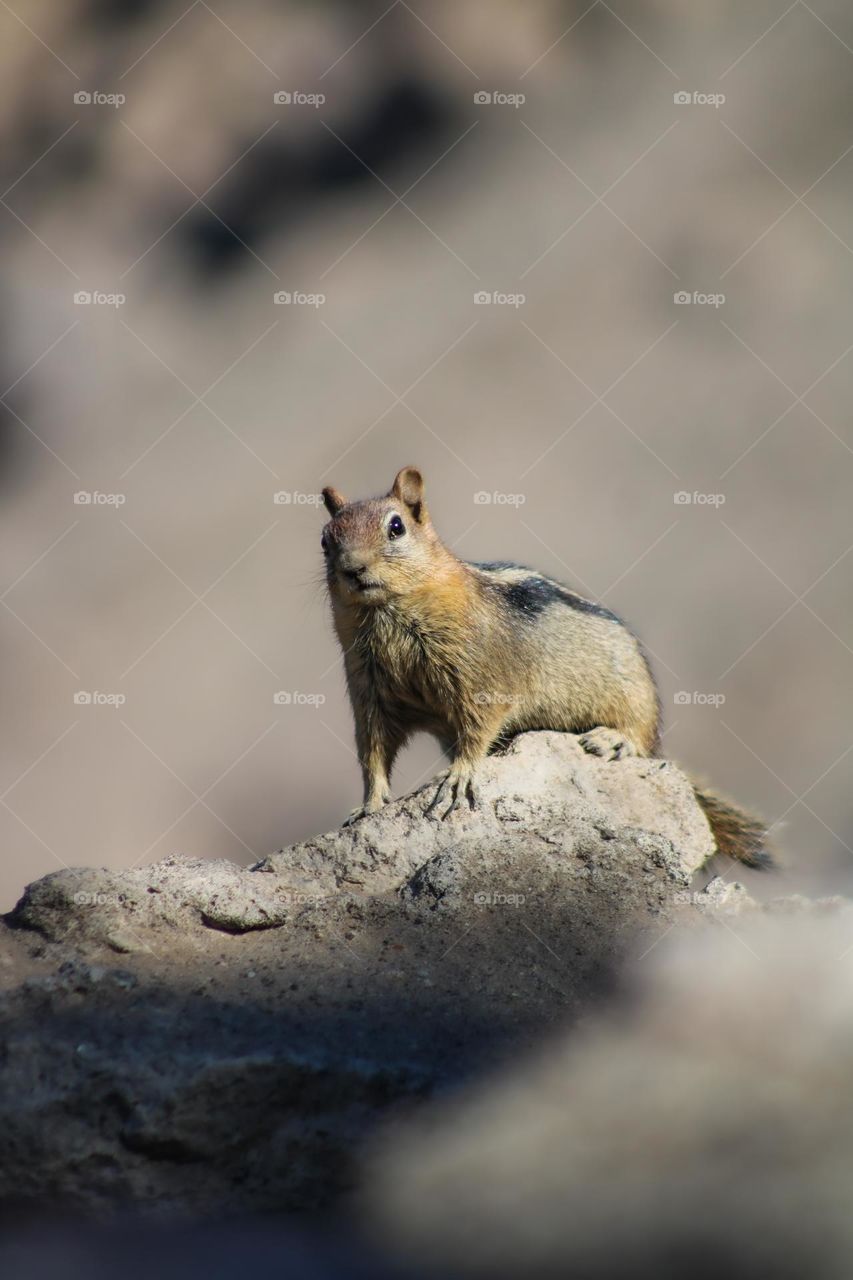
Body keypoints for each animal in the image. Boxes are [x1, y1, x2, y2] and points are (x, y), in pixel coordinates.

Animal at [320, 465, 771, 870]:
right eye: (326, 539)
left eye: (396, 527)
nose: (353, 569)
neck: (387, 614)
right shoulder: (368, 688)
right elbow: (373, 748)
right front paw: (369, 805)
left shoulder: (481, 679)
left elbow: (476, 729)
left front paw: (458, 777)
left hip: (636, 700)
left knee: (642, 738)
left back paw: (612, 740)